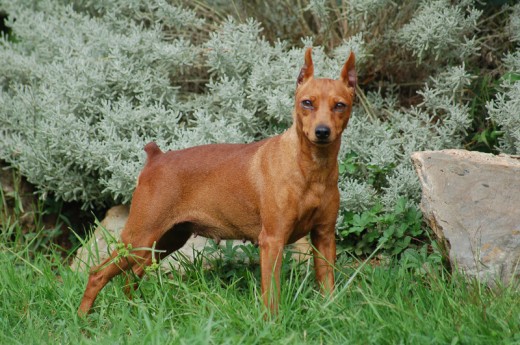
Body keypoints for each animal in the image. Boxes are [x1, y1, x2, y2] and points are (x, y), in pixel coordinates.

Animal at [77, 47, 356, 314]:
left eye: (340, 105)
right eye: (307, 103)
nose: (322, 132)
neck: (312, 169)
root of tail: (156, 158)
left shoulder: (324, 237)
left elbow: (328, 288)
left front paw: (330, 315)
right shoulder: (272, 241)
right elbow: (271, 296)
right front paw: (272, 323)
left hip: (163, 242)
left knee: (131, 276)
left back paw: (134, 311)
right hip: (140, 239)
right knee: (97, 275)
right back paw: (82, 319)